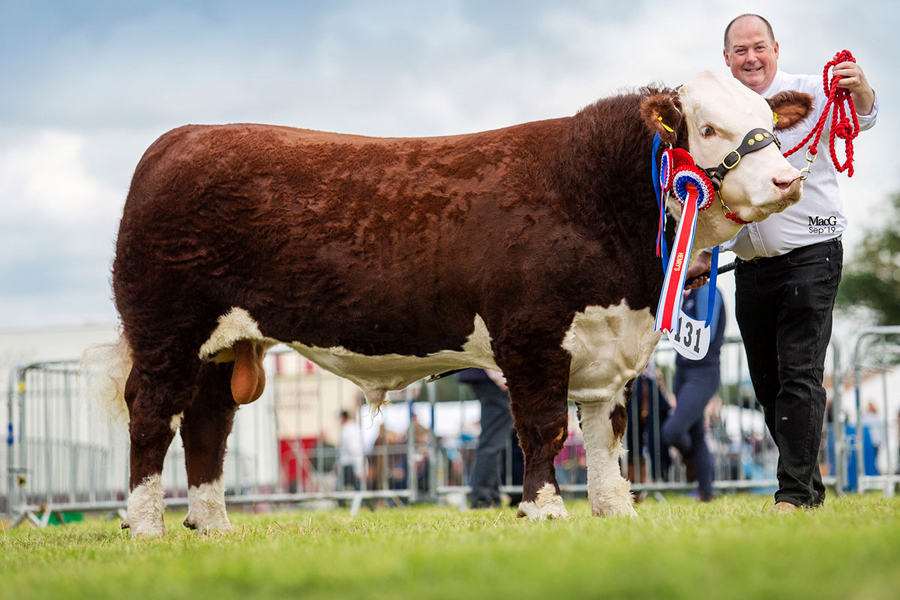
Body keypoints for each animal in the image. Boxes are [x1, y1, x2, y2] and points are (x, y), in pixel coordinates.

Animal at [106, 71, 812, 536]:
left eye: (771, 122)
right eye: (710, 128)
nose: (787, 179)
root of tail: (180, 140)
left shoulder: (608, 346)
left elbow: (604, 432)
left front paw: (615, 510)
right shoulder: (531, 337)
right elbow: (544, 428)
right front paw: (544, 509)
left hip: (223, 345)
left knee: (207, 424)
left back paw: (212, 525)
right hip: (167, 328)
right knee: (152, 414)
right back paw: (146, 525)